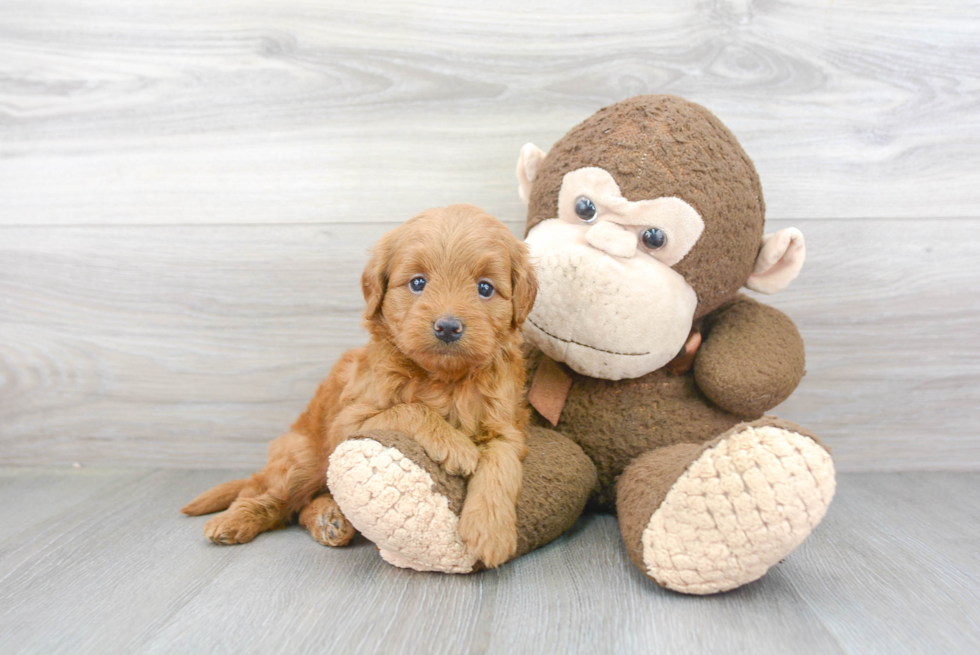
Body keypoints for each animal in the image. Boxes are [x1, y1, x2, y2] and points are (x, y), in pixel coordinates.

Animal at [182, 206, 536, 568]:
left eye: (485, 288)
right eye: (418, 282)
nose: (448, 327)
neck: (445, 379)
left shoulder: (506, 426)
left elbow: (502, 464)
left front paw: (491, 530)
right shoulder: (348, 422)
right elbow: (409, 409)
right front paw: (455, 446)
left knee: (305, 502)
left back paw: (329, 520)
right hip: (304, 458)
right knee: (267, 493)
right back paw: (234, 520)